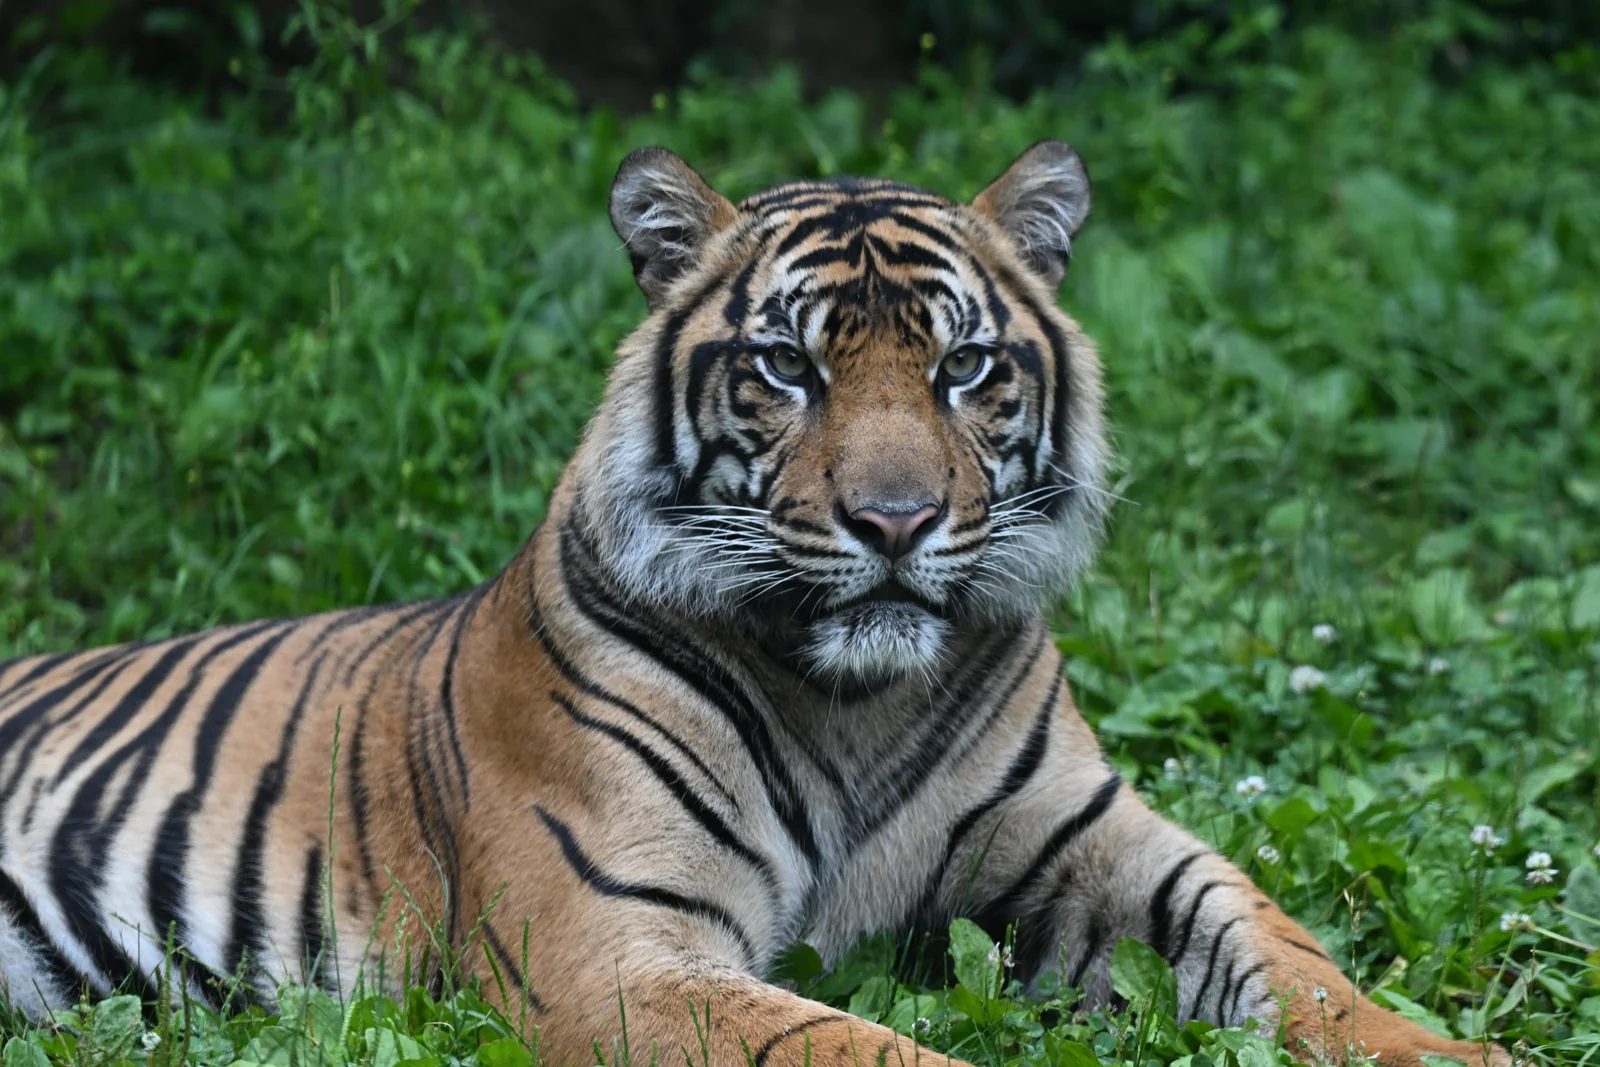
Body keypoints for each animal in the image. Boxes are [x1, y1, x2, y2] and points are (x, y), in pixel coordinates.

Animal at [0, 142, 1507, 1067]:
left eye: (966, 367)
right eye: (787, 366)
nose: (894, 522)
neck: (856, 699)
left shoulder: (1102, 843)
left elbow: (1293, 953)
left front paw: (1454, 1047)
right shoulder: (611, 944)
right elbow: (851, 1042)